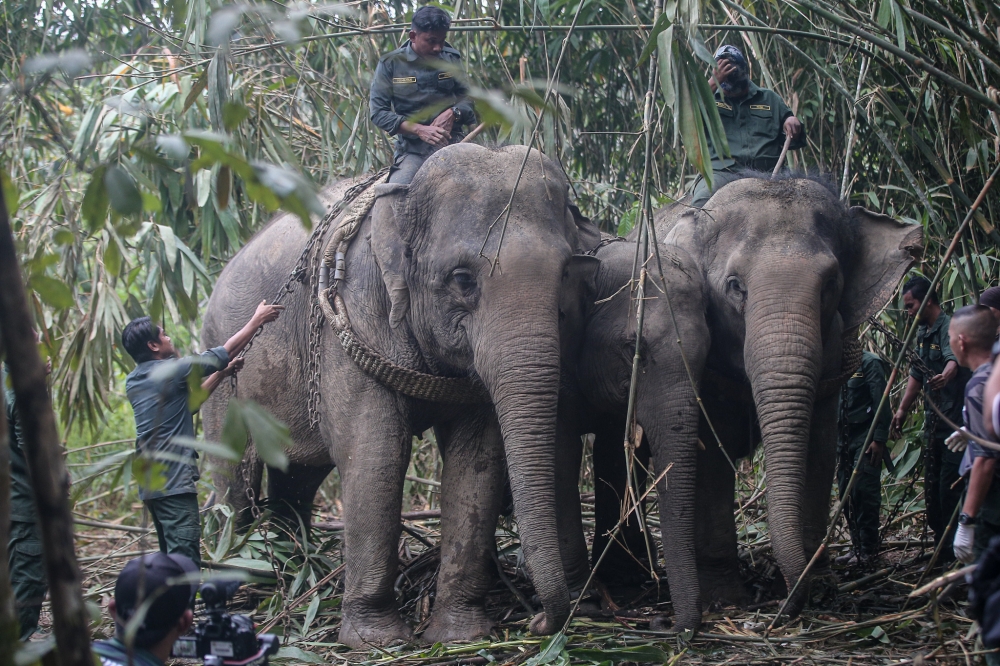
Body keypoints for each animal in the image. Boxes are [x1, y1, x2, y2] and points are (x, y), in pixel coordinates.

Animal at [200, 143, 601, 648]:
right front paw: (377, 641)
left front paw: (459, 636)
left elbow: (478, 460)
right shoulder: (351, 314)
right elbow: (378, 454)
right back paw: (241, 577)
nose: (538, 621)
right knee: (233, 478)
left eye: (567, 272)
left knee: (298, 479)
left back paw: (297, 572)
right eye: (462, 279)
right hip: (223, 367)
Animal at [555, 237, 710, 631]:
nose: (665, 622)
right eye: (632, 349)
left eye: (709, 351)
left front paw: (623, 577)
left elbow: (616, 455)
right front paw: (588, 593)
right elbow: (559, 453)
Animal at [587, 174, 921, 618]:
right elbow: (709, 457)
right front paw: (725, 599)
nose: (788, 604)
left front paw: (815, 584)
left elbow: (818, 449)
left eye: (831, 285)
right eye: (735, 286)